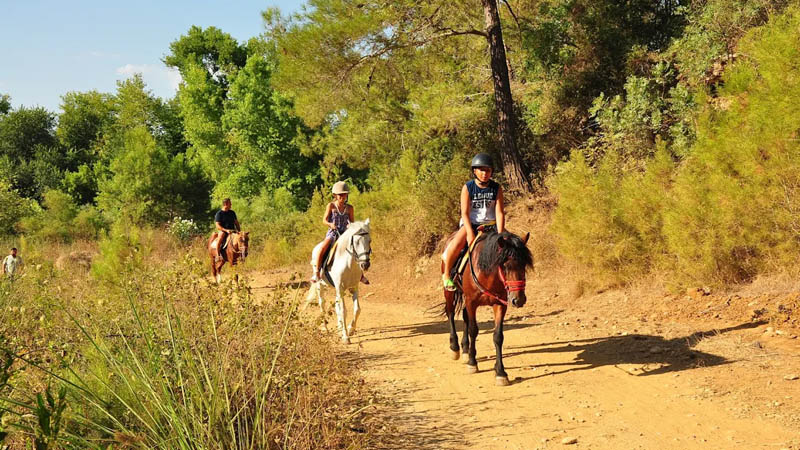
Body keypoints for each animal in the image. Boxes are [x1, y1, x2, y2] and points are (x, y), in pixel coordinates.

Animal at [442, 230, 532, 386]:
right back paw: (455, 348)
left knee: (465, 317)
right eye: (505, 265)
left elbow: (498, 336)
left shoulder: (500, 305)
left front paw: (500, 372)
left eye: (524, 265)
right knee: (451, 313)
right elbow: (473, 330)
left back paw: (465, 350)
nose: (518, 299)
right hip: (450, 292)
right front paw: (472, 363)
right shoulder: (472, 302)